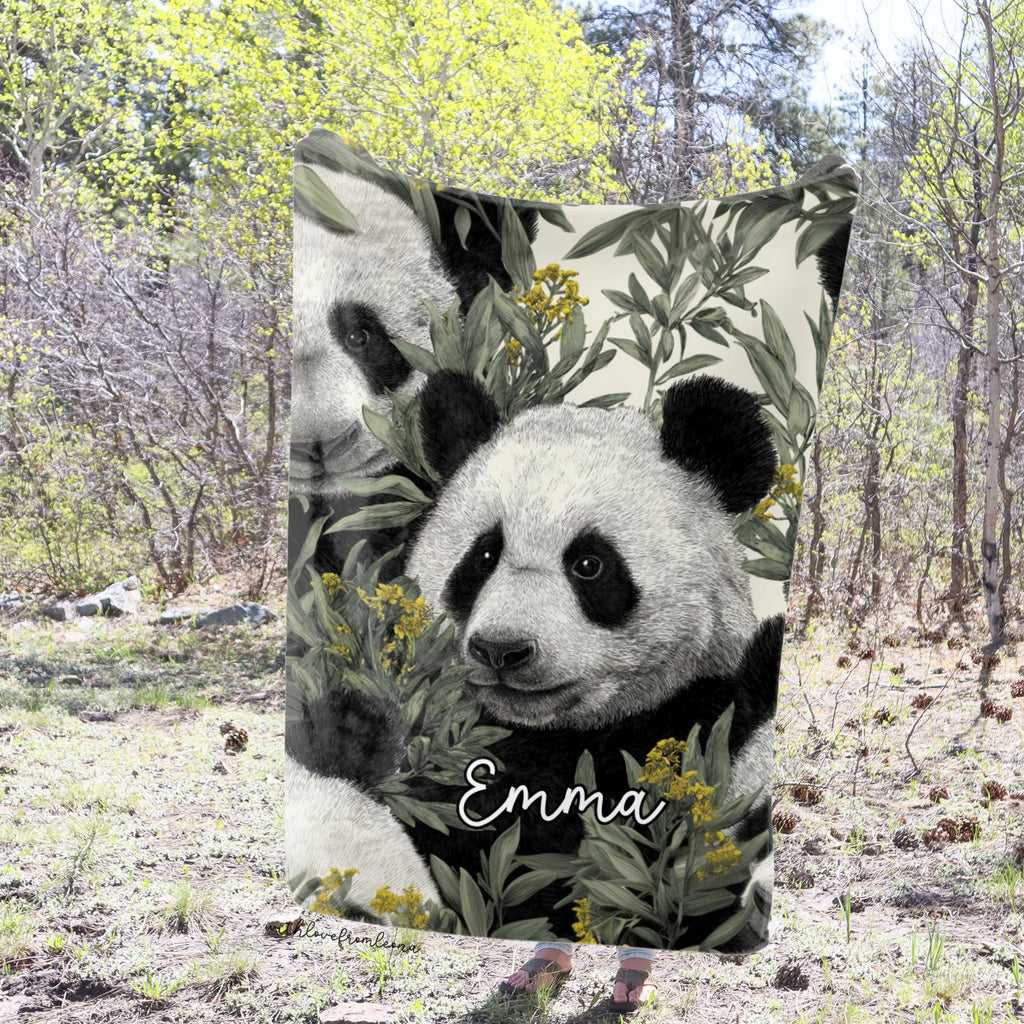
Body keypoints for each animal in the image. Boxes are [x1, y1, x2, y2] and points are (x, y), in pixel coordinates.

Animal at [286, 369, 784, 950]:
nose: (501, 650)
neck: (549, 731)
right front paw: (355, 723)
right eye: (482, 555)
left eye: (590, 564)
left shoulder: (687, 737)